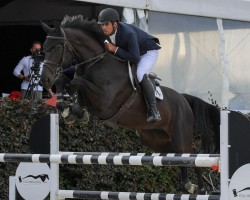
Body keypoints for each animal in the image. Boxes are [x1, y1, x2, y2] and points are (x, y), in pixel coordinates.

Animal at [40, 16, 220, 195]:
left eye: (57, 47)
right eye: (44, 49)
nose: (45, 80)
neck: (97, 63)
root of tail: (183, 98)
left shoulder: (105, 102)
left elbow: (77, 82)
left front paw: (76, 110)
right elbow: (64, 80)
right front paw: (66, 108)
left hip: (180, 134)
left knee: (191, 154)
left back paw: (200, 188)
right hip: (157, 140)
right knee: (178, 157)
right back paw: (188, 184)